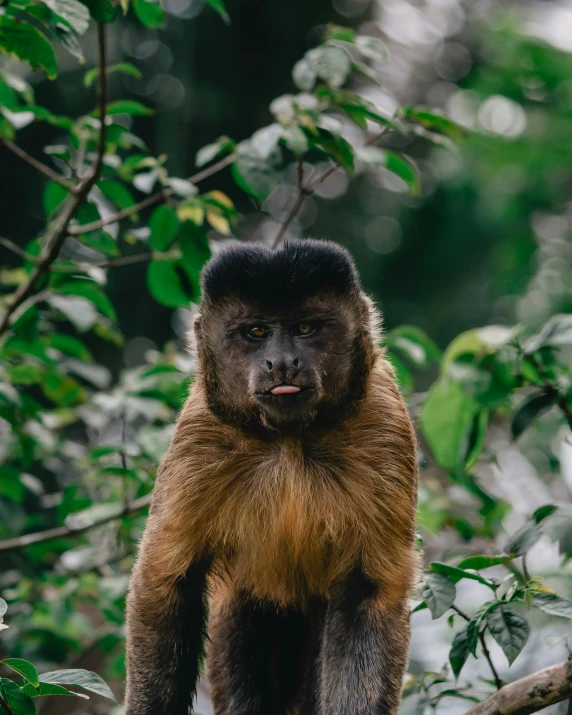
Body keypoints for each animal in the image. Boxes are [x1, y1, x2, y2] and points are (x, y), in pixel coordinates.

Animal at [126, 238, 420, 712]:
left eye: (304, 328)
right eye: (257, 333)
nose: (281, 362)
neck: (288, 440)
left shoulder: (381, 416)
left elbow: (368, 589)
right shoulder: (201, 430)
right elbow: (166, 580)